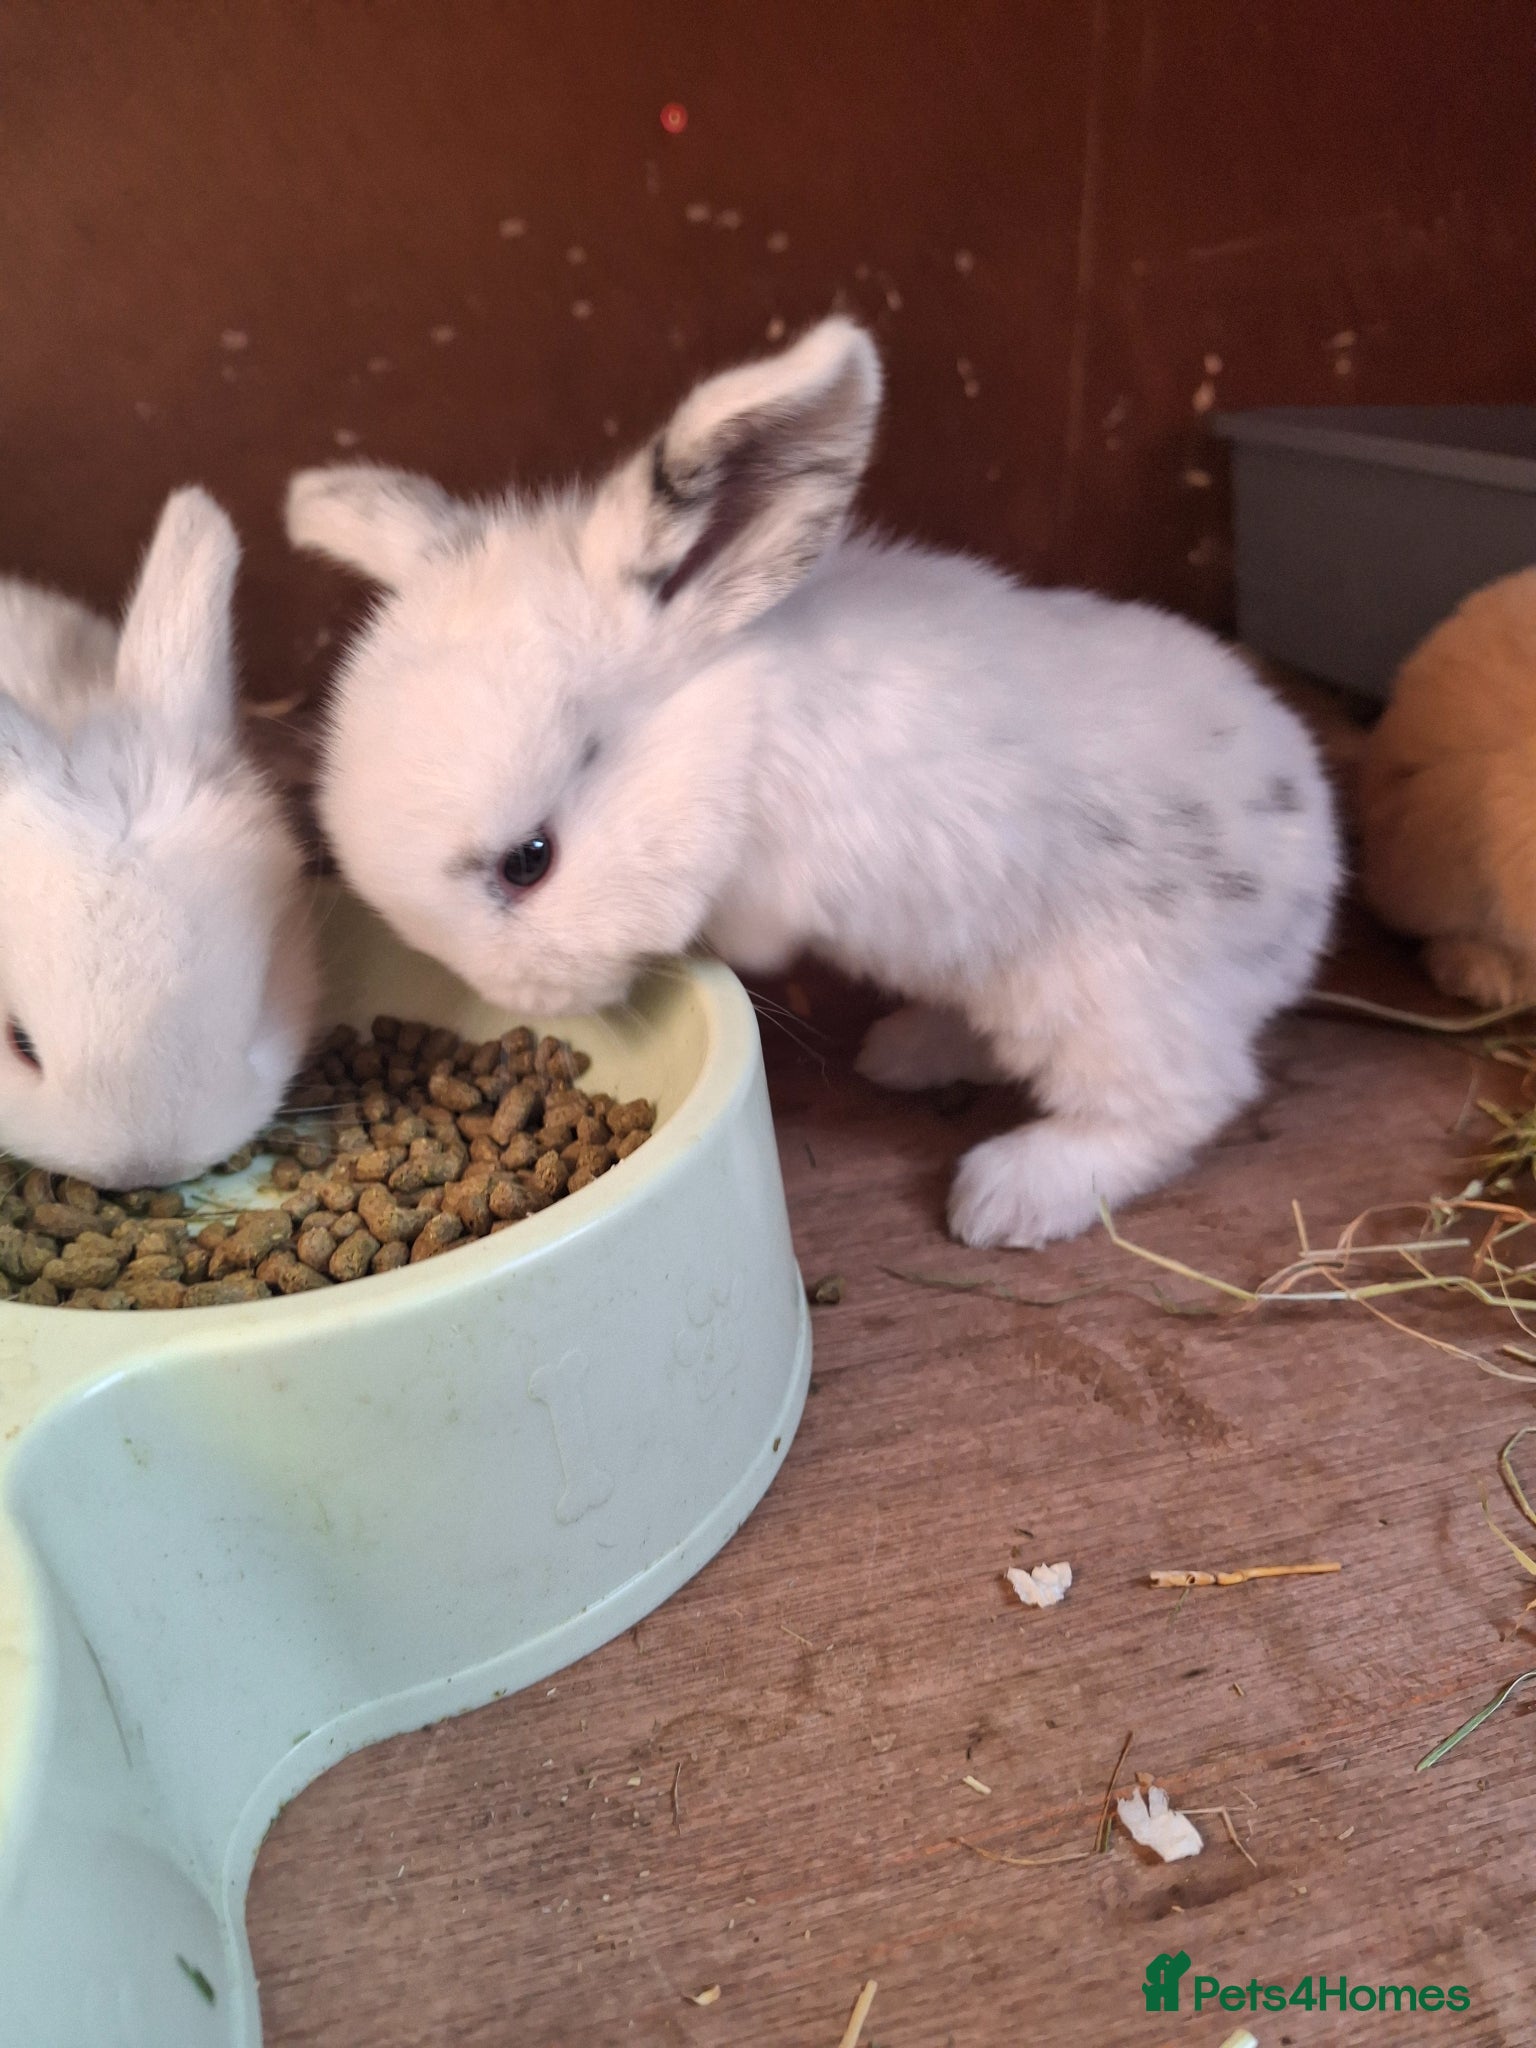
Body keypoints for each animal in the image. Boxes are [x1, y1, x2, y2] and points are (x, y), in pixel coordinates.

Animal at [287, 317, 1340, 1248]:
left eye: (529, 861)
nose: (525, 1001)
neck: (733, 730)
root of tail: (1315, 881)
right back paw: (903, 1053)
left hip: (1108, 997)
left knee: (1181, 1100)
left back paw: (1004, 1197)